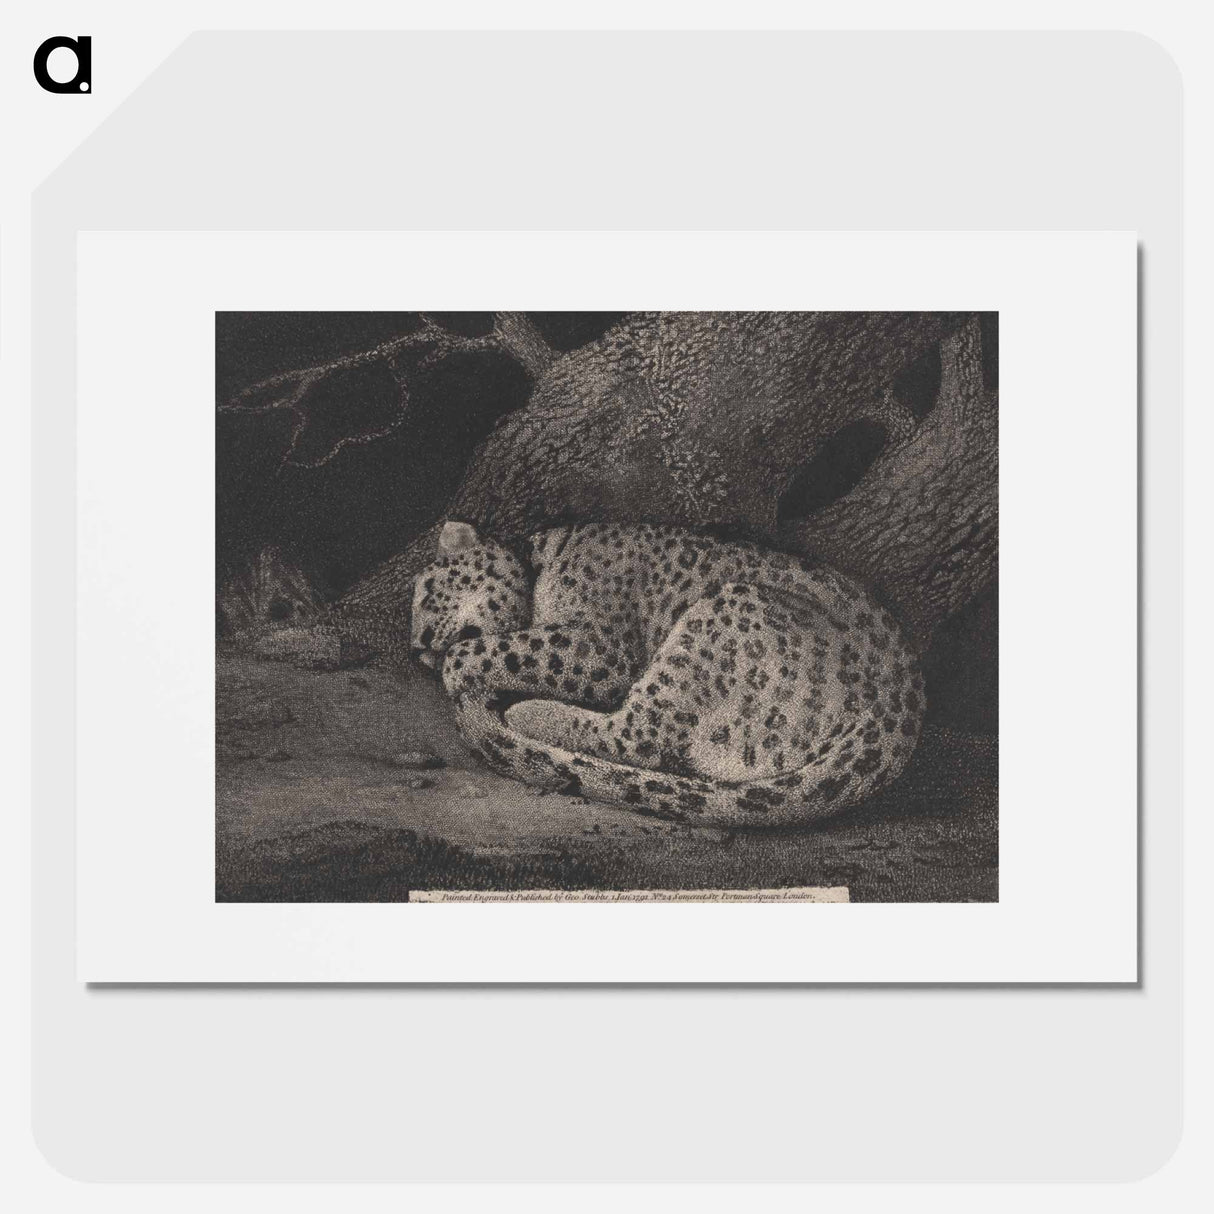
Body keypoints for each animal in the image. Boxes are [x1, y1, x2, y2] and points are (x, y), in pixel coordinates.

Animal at [411, 520, 925, 827]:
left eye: (427, 593)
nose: (417, 649)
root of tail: (899, 709)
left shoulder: (600, 649)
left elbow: (500, 648)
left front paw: (458, 669)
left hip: (720, 616)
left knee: (638, 737)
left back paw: (527, 713)